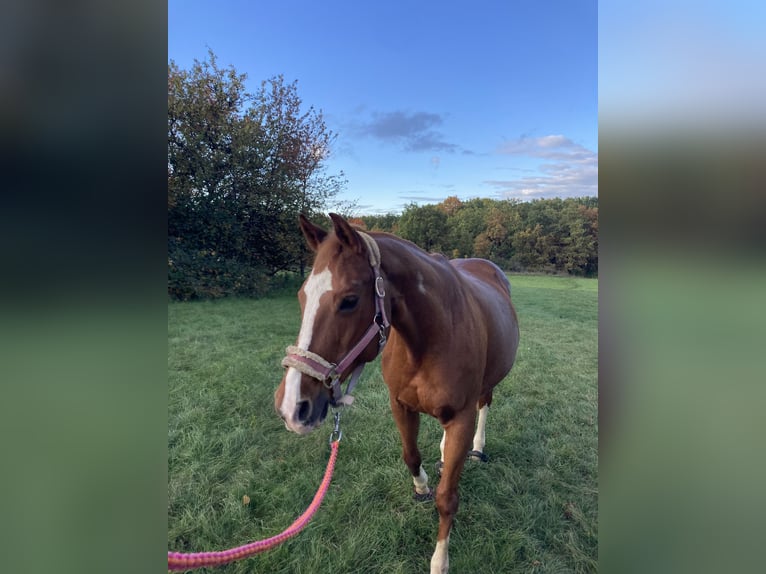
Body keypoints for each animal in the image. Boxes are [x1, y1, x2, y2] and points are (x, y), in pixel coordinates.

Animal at [275, 213, 520, 573]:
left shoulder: (461, 418)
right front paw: (422, 486)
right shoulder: (401, 405)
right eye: (301, 296)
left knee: (485, 404)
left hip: (487, 388)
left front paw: (440, 561)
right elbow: (411, 456)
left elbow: (447, 499)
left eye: (349, 300)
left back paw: (476, 449)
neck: (431, 337)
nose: (293, 407)